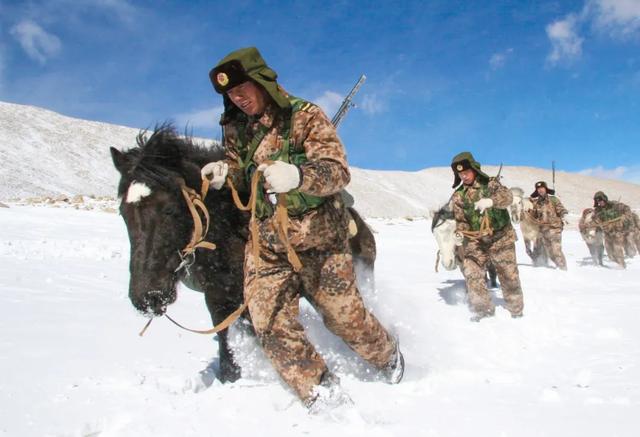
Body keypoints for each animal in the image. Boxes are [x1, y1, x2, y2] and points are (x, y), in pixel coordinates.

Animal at [112, 125, 378, 382]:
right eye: (123, 213)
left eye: (170, 210)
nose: (147, 298)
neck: (230, 228)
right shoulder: (219, 298)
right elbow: (225, 339)